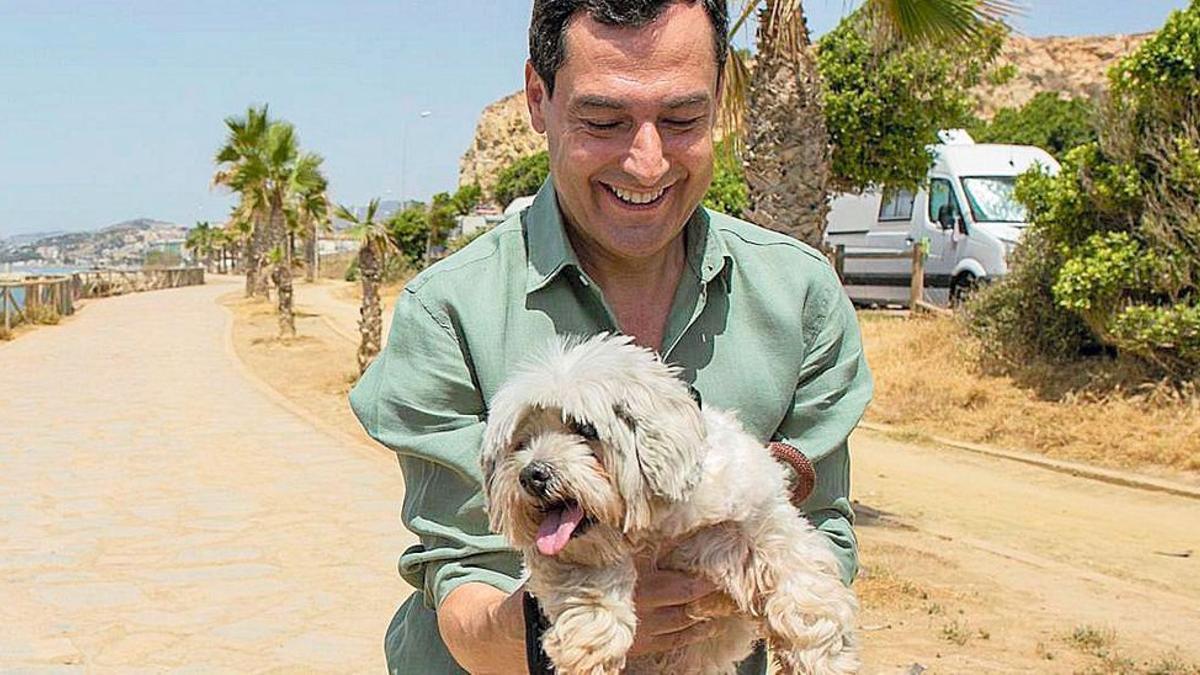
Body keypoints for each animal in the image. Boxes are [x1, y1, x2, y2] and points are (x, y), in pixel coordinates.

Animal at [482, 333, 859, 667]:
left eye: (585, 429)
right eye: (521, 443)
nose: (532, 474)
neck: (655, 529)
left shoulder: (763, 519)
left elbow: (803, 588)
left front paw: (822, 655)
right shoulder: (566, 556)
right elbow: (586, 581)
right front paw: (591, 642)